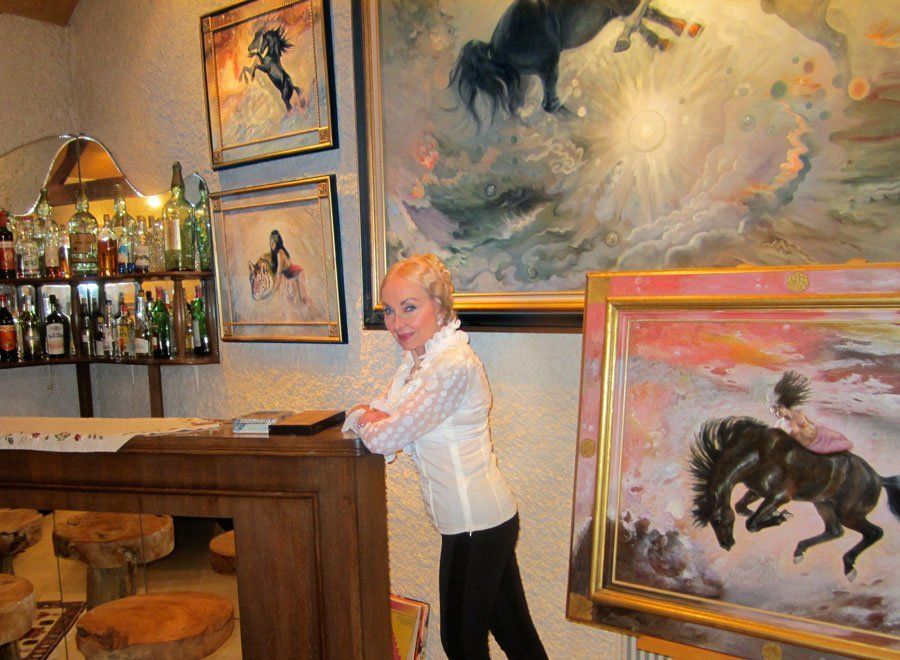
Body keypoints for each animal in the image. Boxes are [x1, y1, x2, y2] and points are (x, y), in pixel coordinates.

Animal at [449, 0, 702, 128]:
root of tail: (493, 46)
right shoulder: (621, 6)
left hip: (526, 77)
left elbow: (649, 14)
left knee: (516, 106)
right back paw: (585, 125)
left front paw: (683, 29)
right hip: (549, 65)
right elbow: (638, 18)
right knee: (549, 104)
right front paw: (631, 41)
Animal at [688, 416, 900, 580]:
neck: (758, 452)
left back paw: (849, 568)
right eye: (711, 522)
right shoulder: (758, 492)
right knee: (835, 531)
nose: (726, 544)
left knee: (875, 533)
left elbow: (751, 523)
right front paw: (774, 516)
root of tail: (878, 478)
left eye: (717, 519)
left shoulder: (780, 496)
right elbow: (741, 508)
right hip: (823, 505)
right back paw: (799, 552)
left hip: (849, 515)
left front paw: (780, 517)